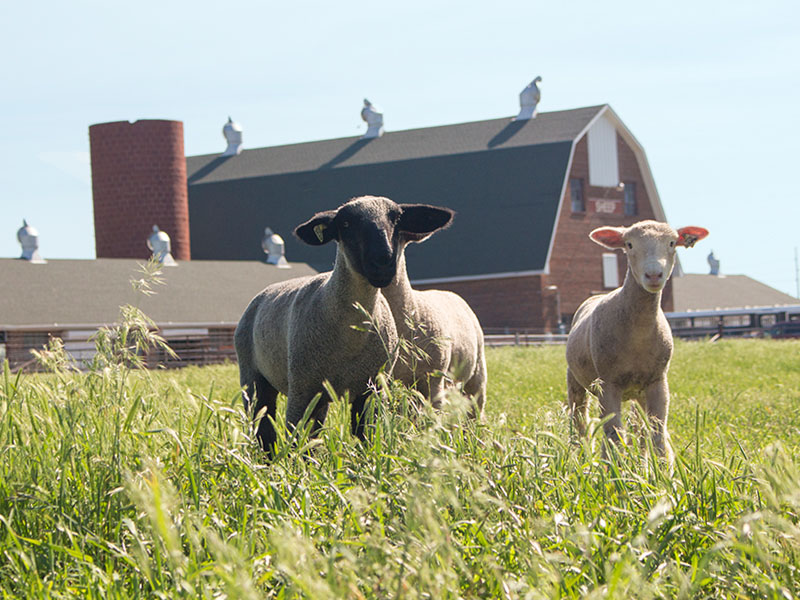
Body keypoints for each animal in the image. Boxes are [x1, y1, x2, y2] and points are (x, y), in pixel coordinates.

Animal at [234, 196, 454, 453]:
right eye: (346, 223)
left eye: (396, 219)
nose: (383, 261)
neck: (350, 338)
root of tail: (263, 293)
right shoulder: (302, 389)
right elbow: (297, 439)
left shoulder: (372, 389)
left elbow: (366, 436)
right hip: (253, 377)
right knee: (263, 427)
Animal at [565, 220, 709, 464]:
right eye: (629, 244)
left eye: (672, 243)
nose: (653, 274)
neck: (638, 336)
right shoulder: (608, 383)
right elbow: (614, 434)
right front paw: (613, 468)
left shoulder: (658, 382)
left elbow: (657, 432)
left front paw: (662, 469)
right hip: (575, 380)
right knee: (580, 422)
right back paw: (581, 456)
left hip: (639, 392)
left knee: (642, 430)